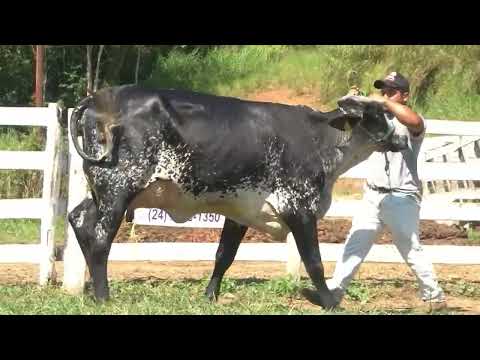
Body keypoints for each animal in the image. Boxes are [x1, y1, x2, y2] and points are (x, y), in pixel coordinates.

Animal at [67, 85, 404, 310]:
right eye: (378, 113)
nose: (403, 137)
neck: (321, 140)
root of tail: (97, 97)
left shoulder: (240, 210)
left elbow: (224, 256)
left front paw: (209, 297)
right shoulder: (300, 209)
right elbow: (314, 262)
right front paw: (331, 302)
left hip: (100, 194)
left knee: (79, 220)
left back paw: (90, 292)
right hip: (118, 191)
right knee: (100, 240)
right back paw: (103, 297)